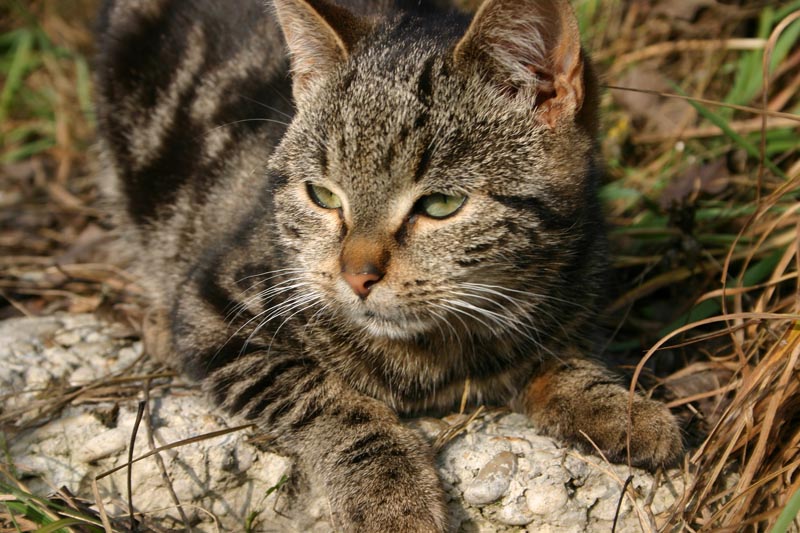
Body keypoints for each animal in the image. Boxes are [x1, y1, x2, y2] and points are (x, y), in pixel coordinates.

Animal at [94, 0, 683, 530]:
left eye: (441, 204)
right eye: (322, 196)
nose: (356, 276)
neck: (437, 351)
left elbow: (564, 358)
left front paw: (618, 406)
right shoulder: (214, 307)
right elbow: (327, 398)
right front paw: (388, 492)